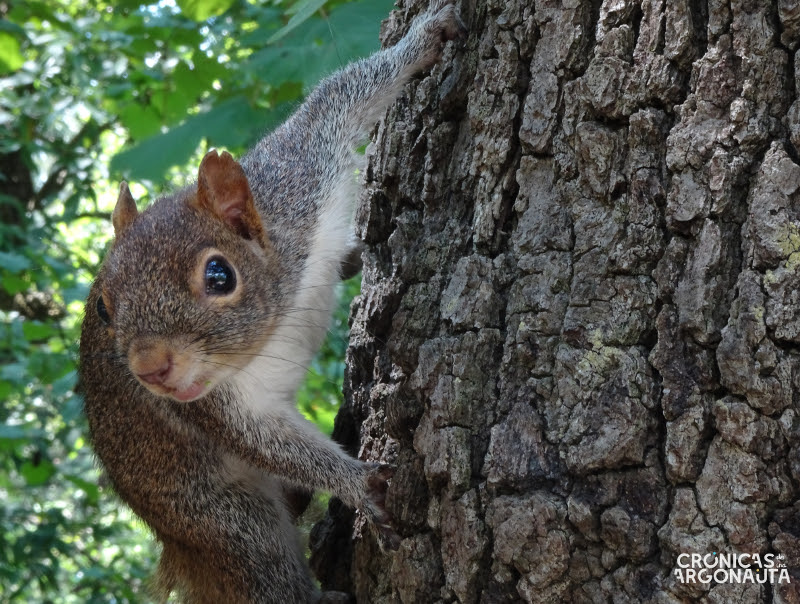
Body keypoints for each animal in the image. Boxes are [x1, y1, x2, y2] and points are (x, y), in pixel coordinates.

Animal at [78, 2, 466, 600]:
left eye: (220, 275)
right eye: (104, 306)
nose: (150, 370)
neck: (278, 317)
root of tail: (177, 547)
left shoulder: (300, 175)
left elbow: (341, 94)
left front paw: (423, 39)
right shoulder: (220, 405)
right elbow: (270, 442)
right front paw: (361, 484)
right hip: (224, 522)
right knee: (262, 566)